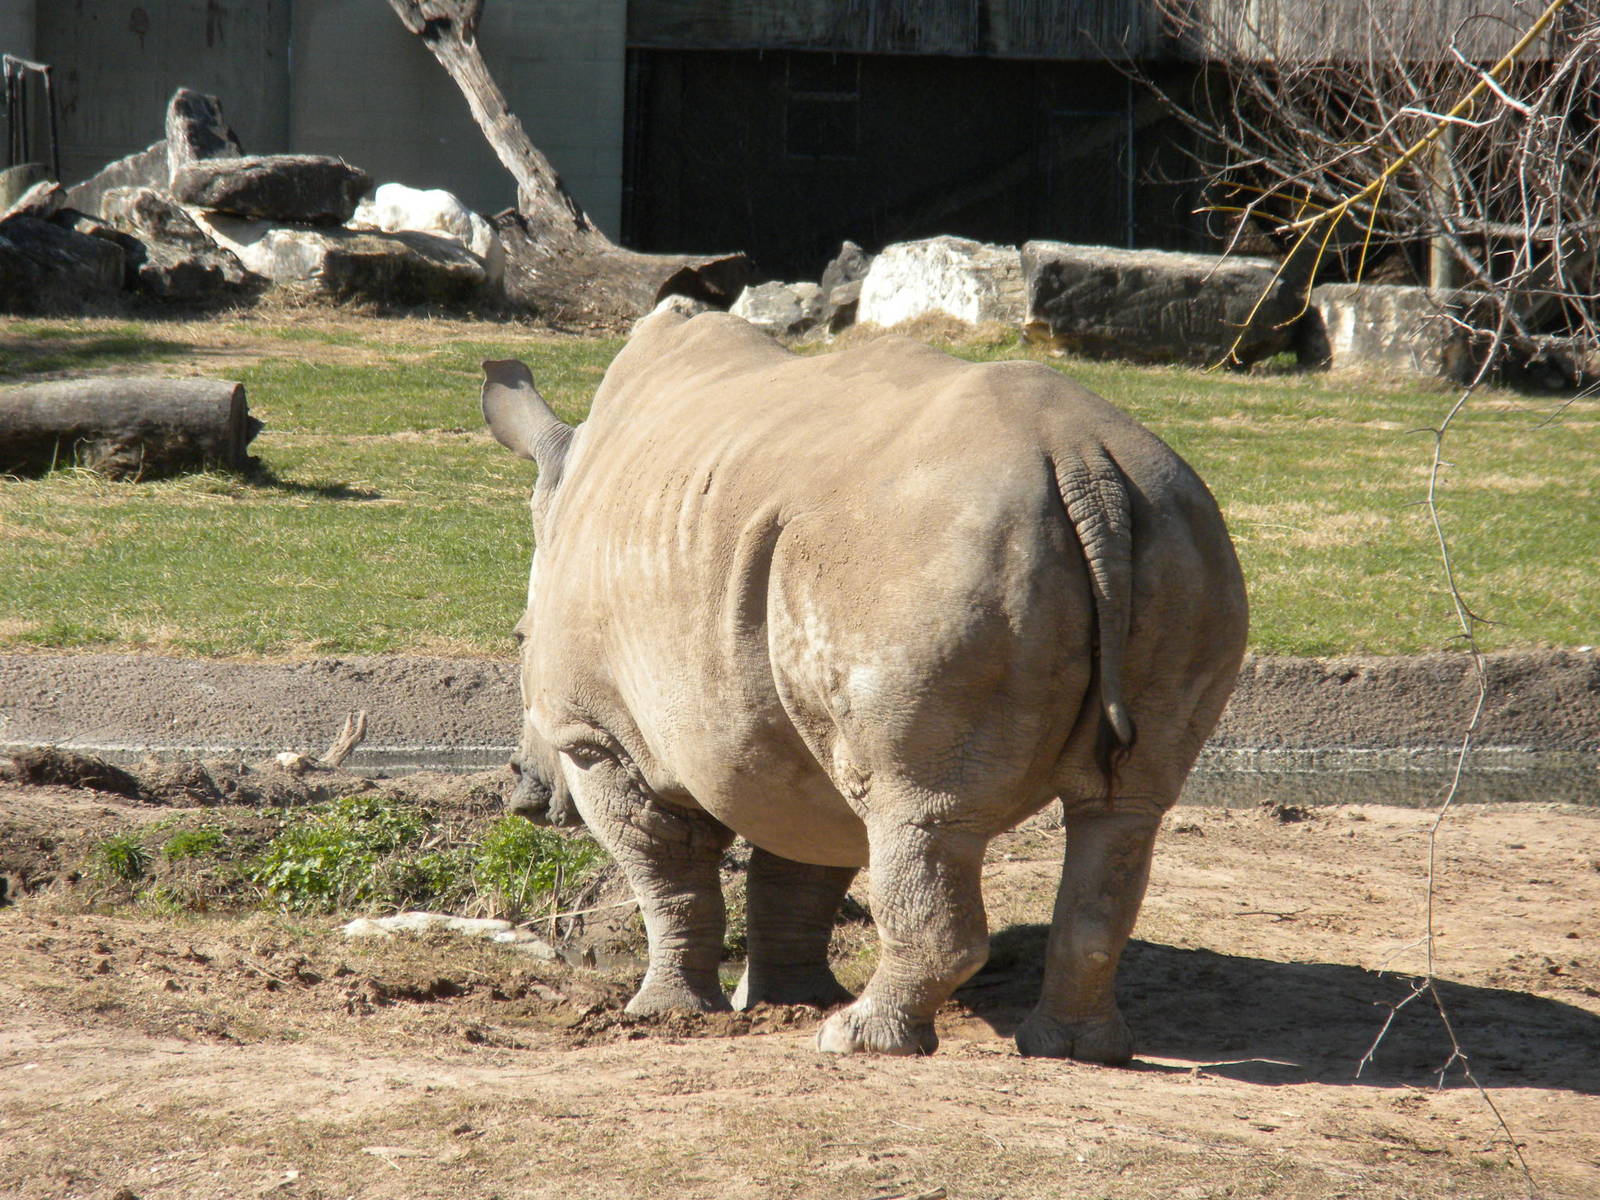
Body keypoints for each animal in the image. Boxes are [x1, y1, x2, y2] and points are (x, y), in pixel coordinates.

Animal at [483, 307, 1247, 1060]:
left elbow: (667, 874)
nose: (520, 787)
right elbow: (798, 868)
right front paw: (781, 1001)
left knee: (918, 805)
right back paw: (1075, 1049)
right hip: (1183, 532)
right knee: (1123, 810)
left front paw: (665, 1013)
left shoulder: (594, 735)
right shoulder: (787, 738)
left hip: (933, 558)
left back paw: (856, 1039)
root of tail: (1086, 465)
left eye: (518, 639)